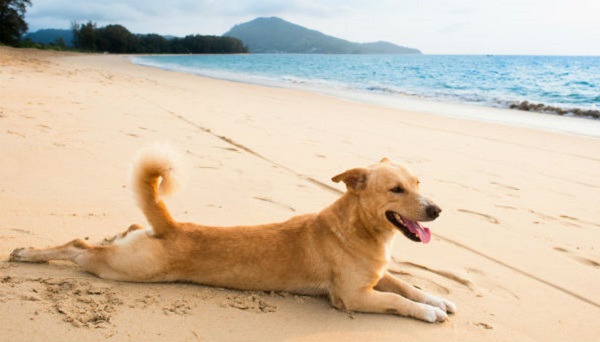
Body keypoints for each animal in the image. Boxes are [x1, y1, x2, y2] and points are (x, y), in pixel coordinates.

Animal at [9, 144, 458, 324]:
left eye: (418, 182)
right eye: (396, 190)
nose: (437, 210)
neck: (359, 228)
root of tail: (168, 225)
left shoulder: (379, 275)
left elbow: (410, 287)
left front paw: (438, 299)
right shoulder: (354, 297)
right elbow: (397, 301)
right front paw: (428, 313)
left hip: (128, 250)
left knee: (109, 235)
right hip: (124, 269)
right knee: (77, 247)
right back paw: (27, 254)